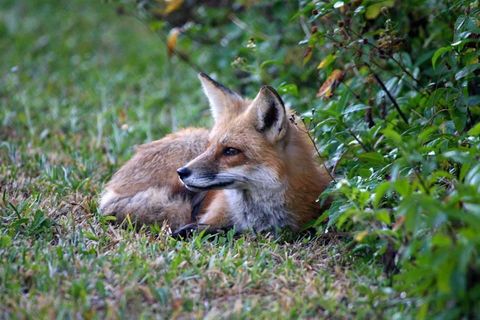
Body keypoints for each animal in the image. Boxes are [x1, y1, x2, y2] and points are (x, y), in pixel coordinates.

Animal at [100, 73, 334, 235]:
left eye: (230, 151)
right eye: (210, 146)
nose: (181, 172)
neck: (258, 217)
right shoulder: (206, 218)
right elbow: (190, 230)